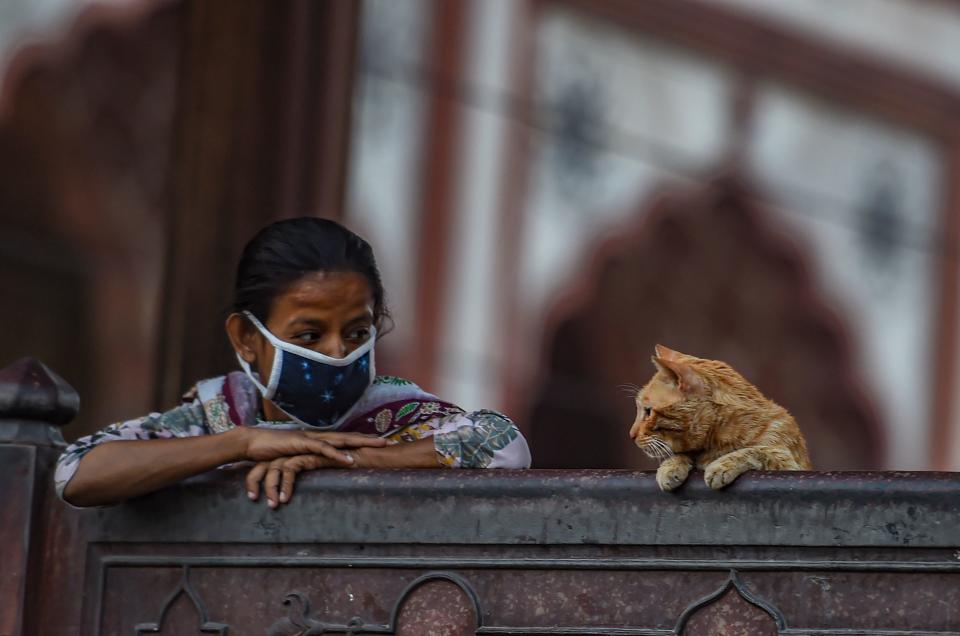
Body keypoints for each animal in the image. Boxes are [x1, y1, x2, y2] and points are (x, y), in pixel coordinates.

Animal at [632, 346, 808, 490]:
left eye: (648, 411)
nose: (631, 435)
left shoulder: (789, 465)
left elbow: (756, 451)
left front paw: (720, 466)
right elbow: (681, 454)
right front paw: (669, 467)